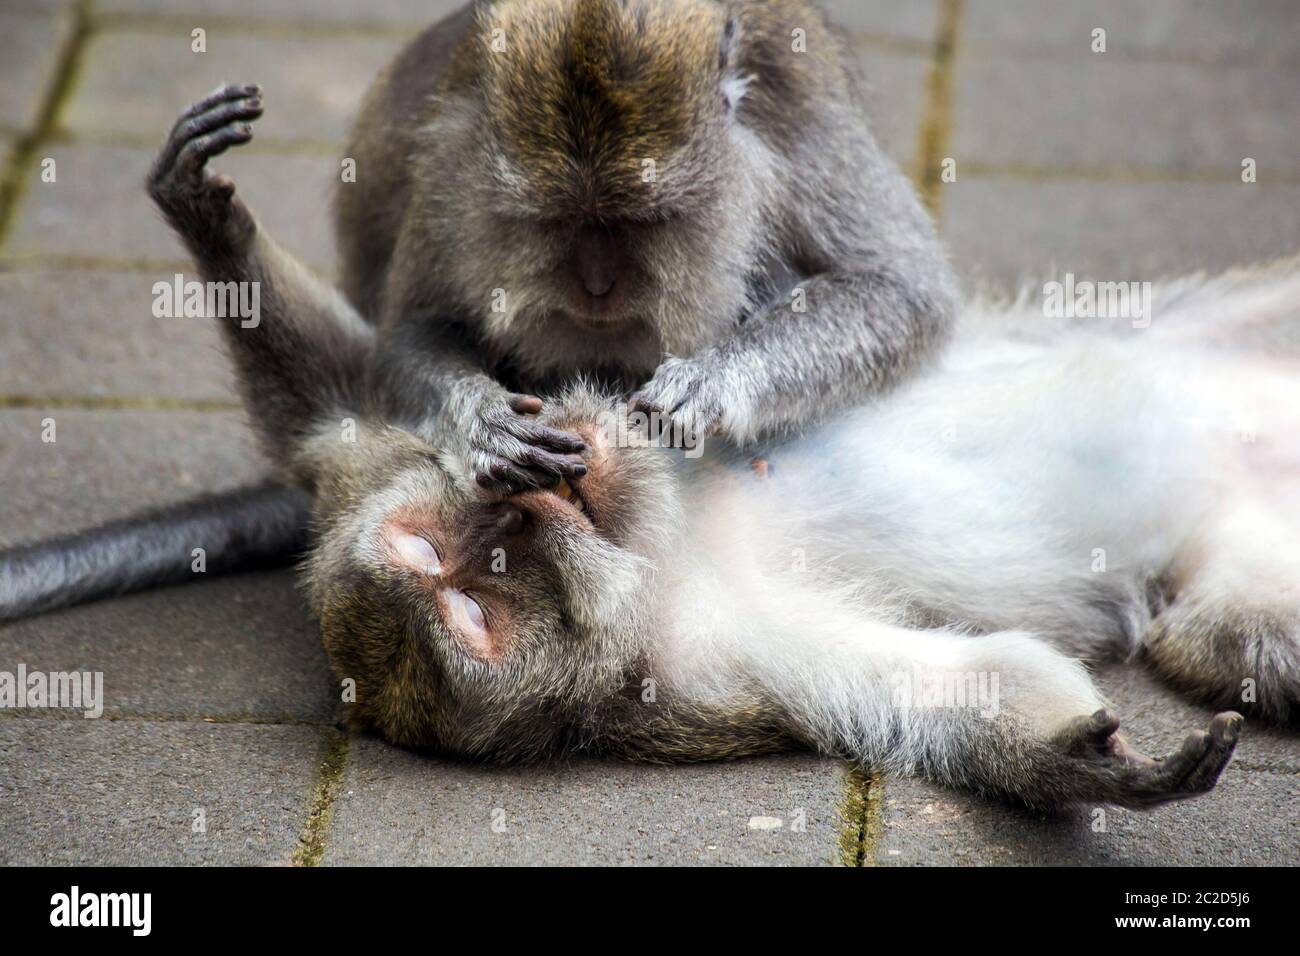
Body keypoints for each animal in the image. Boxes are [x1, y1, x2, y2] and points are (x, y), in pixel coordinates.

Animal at [0, 0, 956, 621]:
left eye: (644, 222)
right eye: (554, 221)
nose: (598, 286)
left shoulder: (793, 111)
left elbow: (900, 290)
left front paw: (714, 384)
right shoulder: (457, 155)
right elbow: (410, 333)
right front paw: (485, 424)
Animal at [116, 85, 1300, 811]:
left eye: (483, 526)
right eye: (490, 572)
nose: (542, 499)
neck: (668, 541)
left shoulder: (374, 456)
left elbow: (352, 393)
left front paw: (211, 220)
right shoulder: (704, 672)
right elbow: (942, 689)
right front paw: (1095, 770)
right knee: (1243, 641)